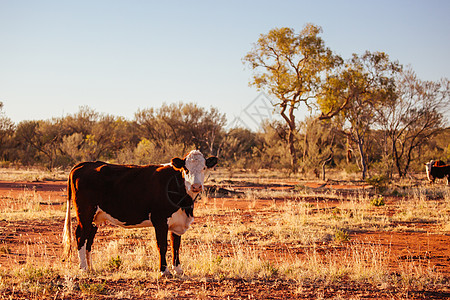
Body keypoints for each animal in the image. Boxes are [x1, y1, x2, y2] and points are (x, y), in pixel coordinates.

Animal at [62, 151, 218, 276]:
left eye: (204, 168)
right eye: (186, 169)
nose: (196, 186)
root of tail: (84, 164)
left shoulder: (177, 221)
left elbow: (176, 245)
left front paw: (178, 269)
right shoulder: (160, 220)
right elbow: (162, 245)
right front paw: (164, 270)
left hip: (95, 218)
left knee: (89, 238)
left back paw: (91, 268)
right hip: (85, 214)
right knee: (80, 236)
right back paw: (83, 268)